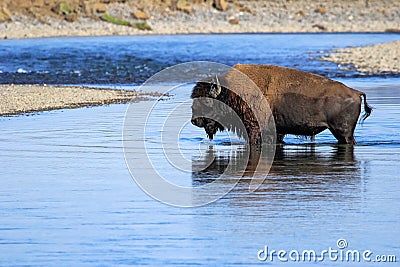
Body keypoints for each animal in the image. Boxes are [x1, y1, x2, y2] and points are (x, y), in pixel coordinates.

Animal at [191, 64, 372, 146]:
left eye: (207, 100)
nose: (194, 120)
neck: (230, 92)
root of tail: (355, 92)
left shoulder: (255, 130)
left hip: (343, 133)